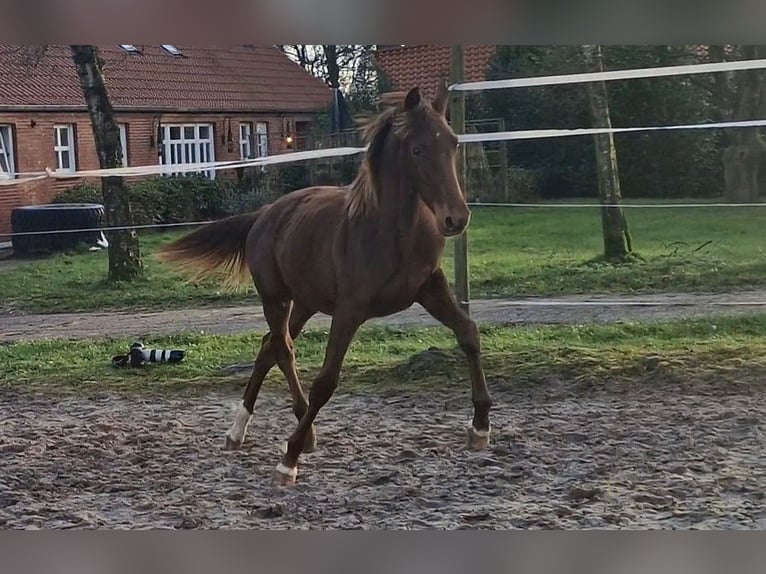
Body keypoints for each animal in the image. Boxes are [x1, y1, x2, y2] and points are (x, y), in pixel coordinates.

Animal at [159, 82, 496, 486]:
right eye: (417, 149)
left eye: (453, 142)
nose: (456, 218)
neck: (392, 233)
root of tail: (264, 213)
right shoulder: (350, 309)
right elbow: (326, 381)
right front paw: (287, 460)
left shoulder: (430, 288)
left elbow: (469, 333)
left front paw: (480, 427)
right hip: (275, 299)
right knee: (283, 350)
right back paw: (284, 434)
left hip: (305, 302)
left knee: (268, 348)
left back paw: (245, 432)